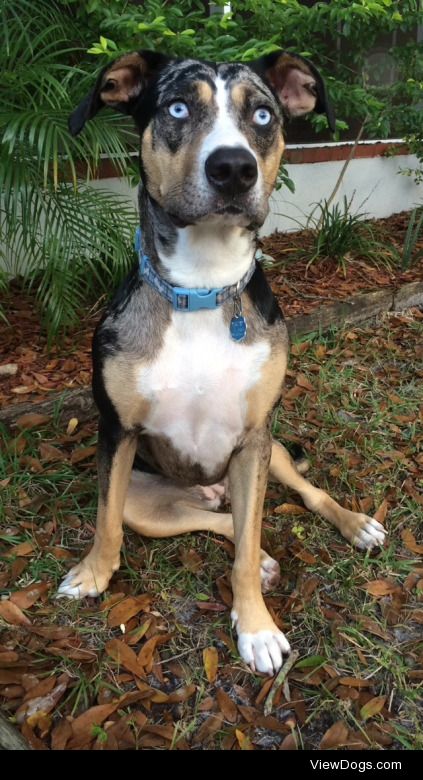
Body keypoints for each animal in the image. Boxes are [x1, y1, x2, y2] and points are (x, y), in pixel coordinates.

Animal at [58, 48, 388, 672]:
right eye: (177, 108)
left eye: (262, 115)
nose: (233, 168)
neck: (203, 288)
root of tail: (209, 487)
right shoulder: (117, 433)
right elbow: (106, 523)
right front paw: (93, 574)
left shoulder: (255, 436)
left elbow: (252, 537)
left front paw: (255, 625)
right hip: (151, 501)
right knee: (215, 520)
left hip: (270, 454)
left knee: (296, 498)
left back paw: (354, 525)